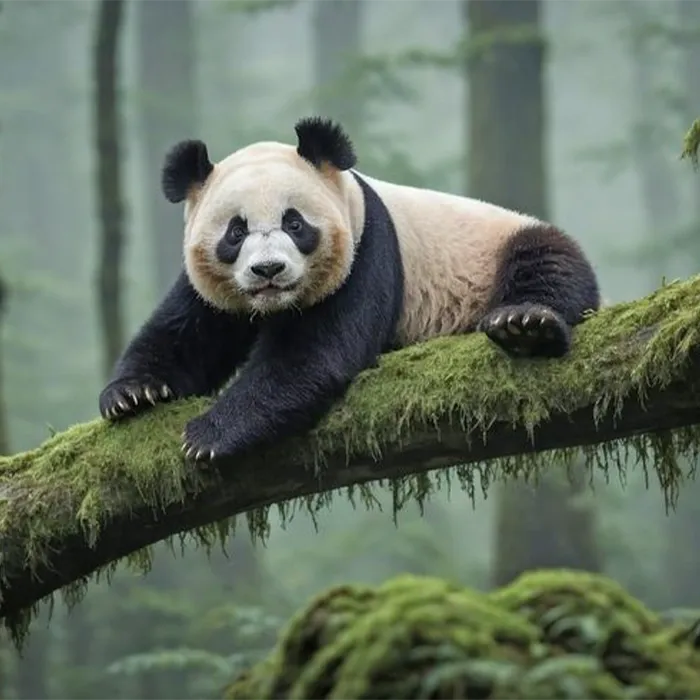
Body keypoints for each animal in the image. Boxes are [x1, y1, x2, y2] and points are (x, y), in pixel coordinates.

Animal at [99, 116, 600, 463]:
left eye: (294, 223)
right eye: (235, 233)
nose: (268, 270)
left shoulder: (366, 249)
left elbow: (313, 355)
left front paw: (209, 435)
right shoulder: (212, 287)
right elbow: (187, 330)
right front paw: (132, 393)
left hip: (503, 247)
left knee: (549, 266)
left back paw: (525, 324)